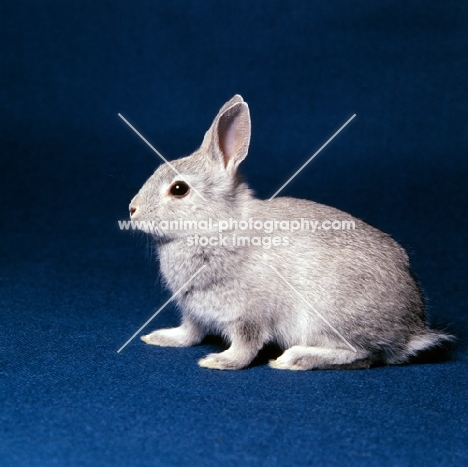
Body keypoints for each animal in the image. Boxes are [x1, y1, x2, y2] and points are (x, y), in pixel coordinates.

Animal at [129, 95, 454, 372]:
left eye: (179, 189)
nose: (132, 209)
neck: (220, 225)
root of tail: (411, 331)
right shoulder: (193, 312)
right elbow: (190, 332)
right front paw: (160, 337)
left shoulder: (249, 315)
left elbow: (246, 346)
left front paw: (219, 361)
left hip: (330, 317)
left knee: (362, 354)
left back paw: (294, 358)